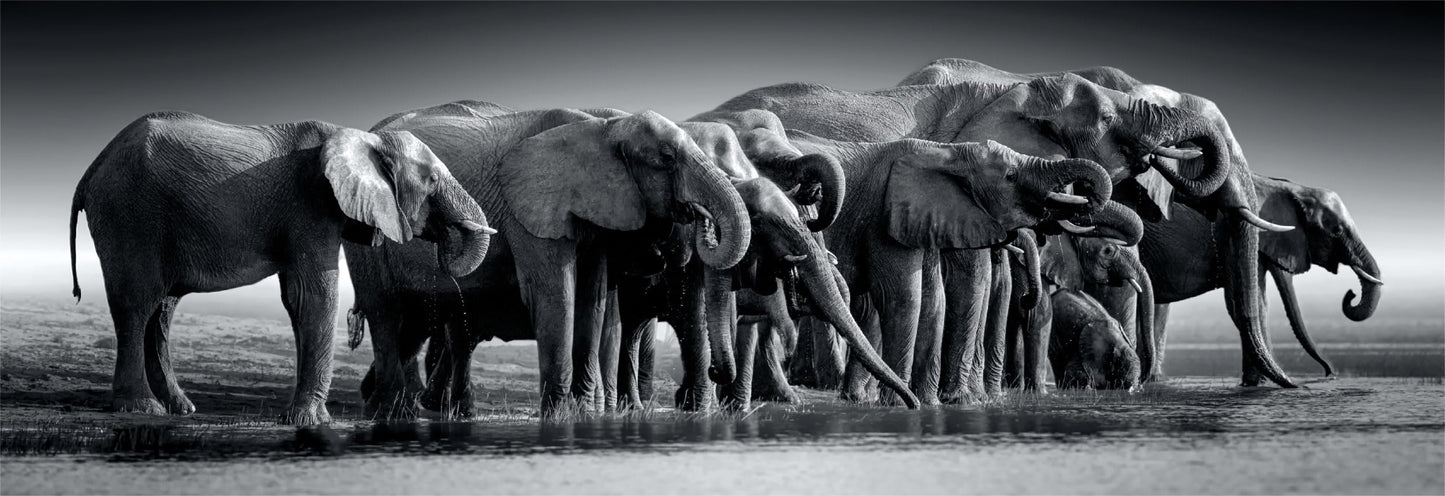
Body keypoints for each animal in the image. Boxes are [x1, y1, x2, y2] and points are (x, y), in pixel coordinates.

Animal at [68, 111, 493, 424]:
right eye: (433, 180)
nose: (445, 243)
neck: (360, 138)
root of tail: (93, 167)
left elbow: (296, 300)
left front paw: (300, 418)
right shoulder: (312, 205)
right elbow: (316, 295)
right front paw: (312, 422)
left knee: (162, 311)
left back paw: (181, 408)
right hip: (129, 214)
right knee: (137, 304)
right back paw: (143, 409)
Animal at [345, 106, 752, 418]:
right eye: (666, 159)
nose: (700, 218)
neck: (602, 128)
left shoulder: (598, 220)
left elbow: (594, 302)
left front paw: (586, 413)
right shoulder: (530, 213)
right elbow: (557, 297)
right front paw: (558, 417)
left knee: (417, 324)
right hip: (367, 225)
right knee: (385, 313)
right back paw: (390, 412)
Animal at [1144, 173, 1382, 378]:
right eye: (1336, 230)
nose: (1329, 373)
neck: (1291, 188)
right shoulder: (1235, 239)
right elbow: (1247, 303)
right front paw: (1261, 384)